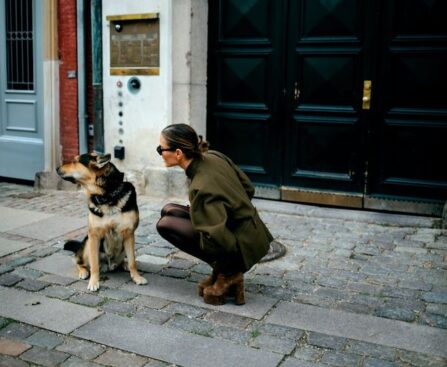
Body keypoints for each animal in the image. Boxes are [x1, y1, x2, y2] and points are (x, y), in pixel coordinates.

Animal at [55, 152, 147, 290]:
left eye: (75, 161)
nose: (56, 168)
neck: (106, 196)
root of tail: (109, 265)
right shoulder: (94, 236)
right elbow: (94, 265)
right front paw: (93, 282)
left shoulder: (129, 234)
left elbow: (133, 261)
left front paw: (136, 277)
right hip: (87, 243)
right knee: (79, 261)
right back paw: (83, 271)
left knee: (124, 261)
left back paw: (124, 264)